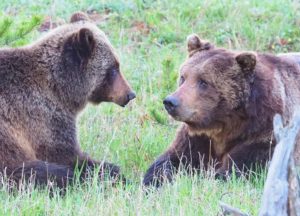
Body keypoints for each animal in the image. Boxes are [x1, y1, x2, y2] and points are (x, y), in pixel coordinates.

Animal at [0, 12, 135, 187]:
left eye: (117, 65)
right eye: (113, 68)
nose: (130, 94)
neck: (61, 88)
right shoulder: (43, 116)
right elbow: (66, 154)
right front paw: (112, 172)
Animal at [142, 33, 300, 187]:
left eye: (203, 82)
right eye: (183, 77)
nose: (170, 102)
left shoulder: (266, 133)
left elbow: (243, 166)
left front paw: (213, 177)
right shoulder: (199, 137)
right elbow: (173, 159)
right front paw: (154, 181)